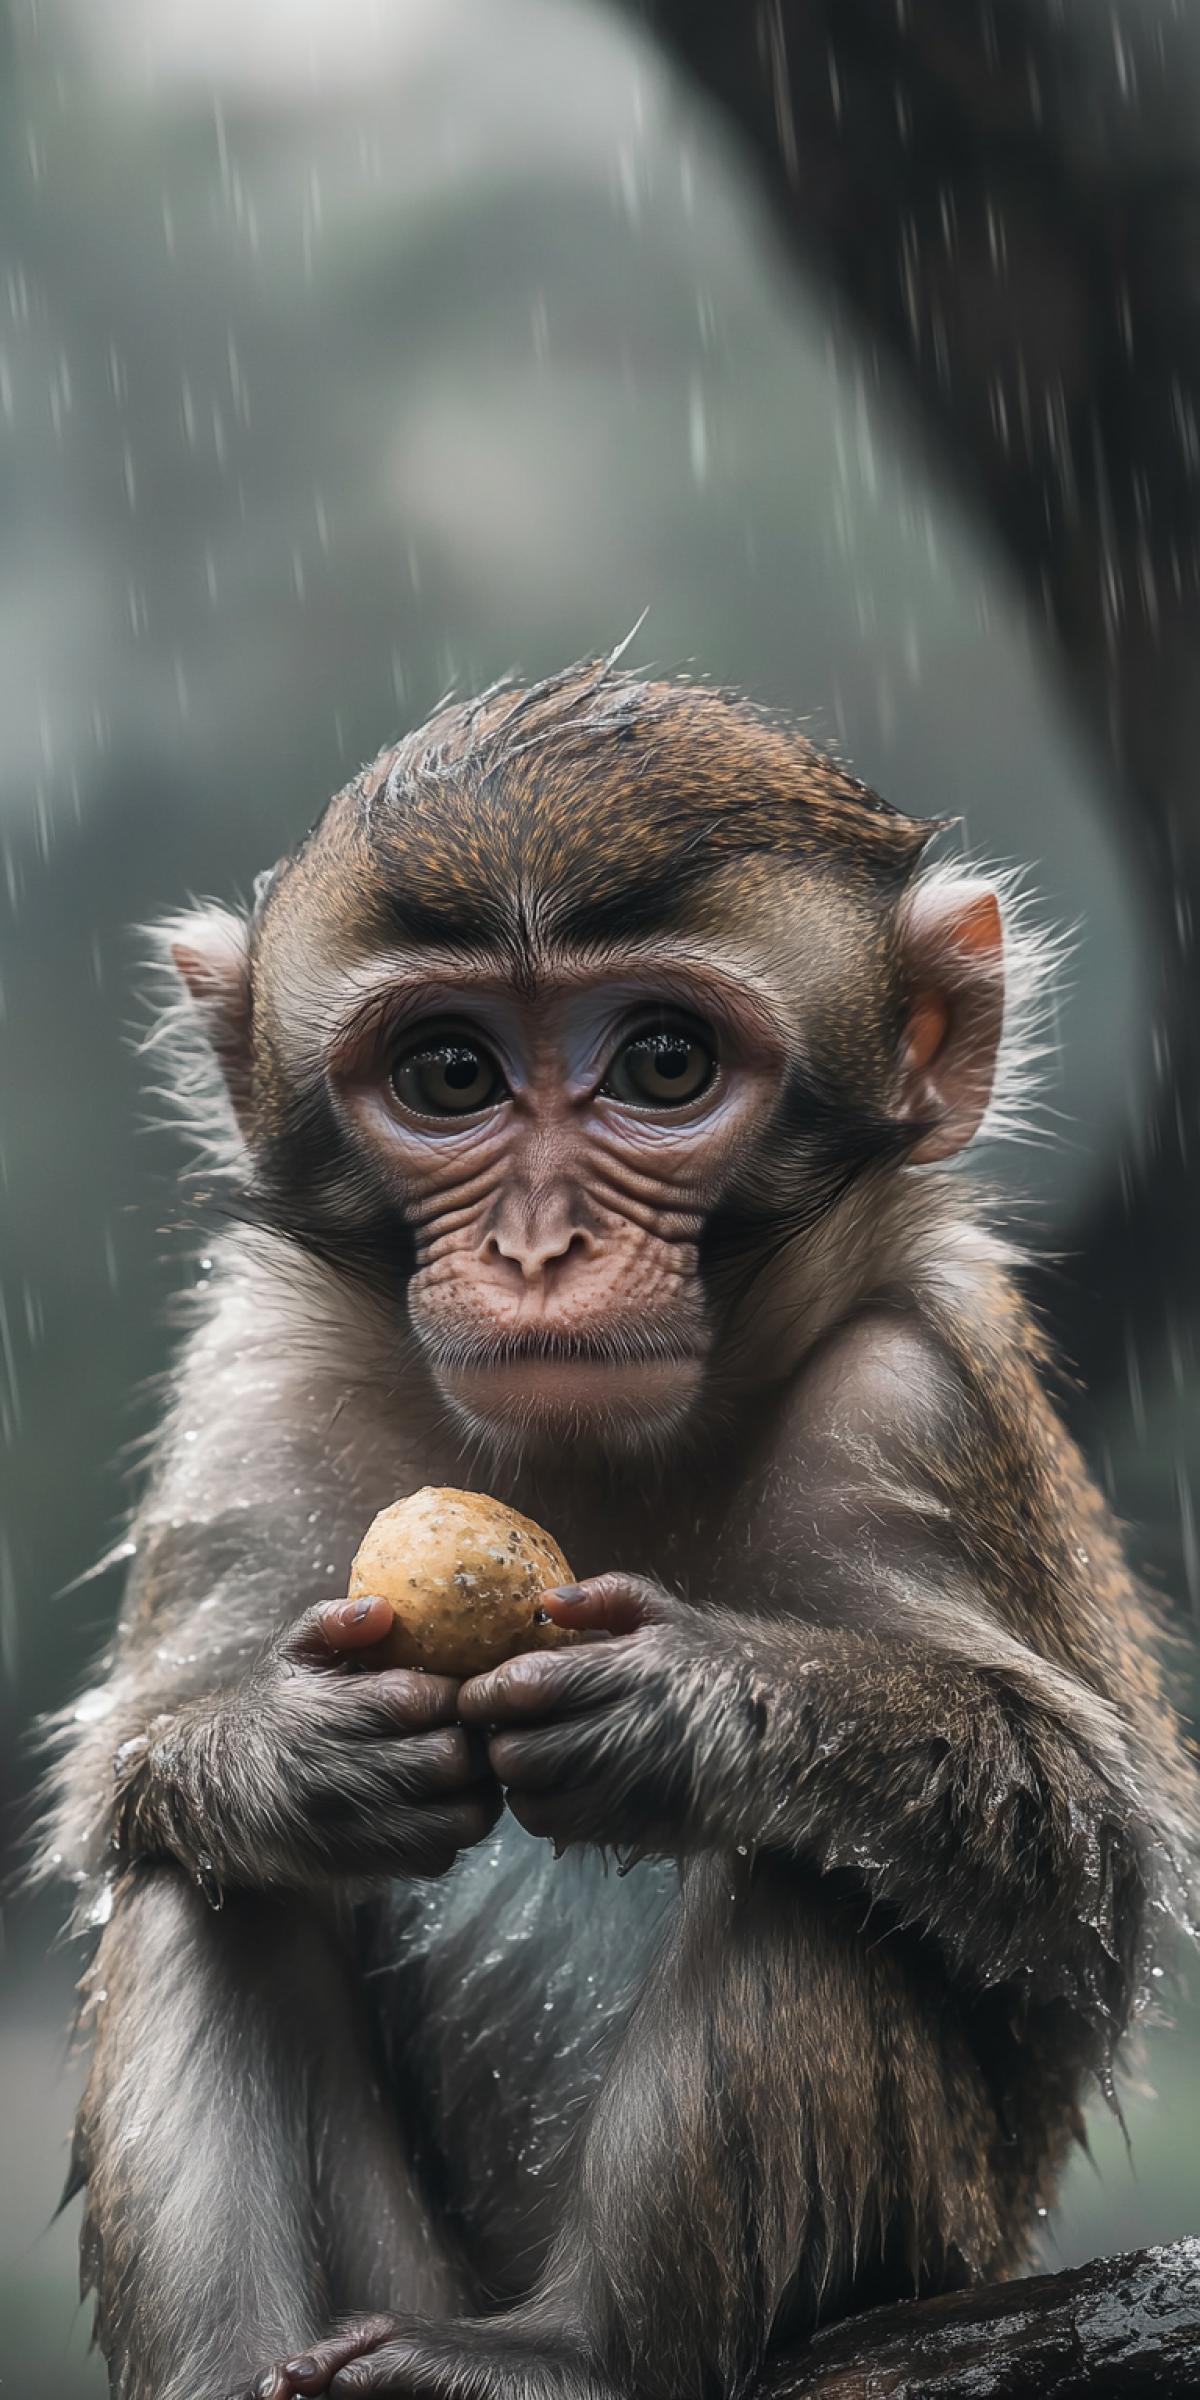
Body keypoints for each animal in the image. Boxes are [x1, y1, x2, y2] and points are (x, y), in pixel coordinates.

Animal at [41, 660, 1196, 2400]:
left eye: (662, 1065)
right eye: (451, 1076)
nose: (537, 1248)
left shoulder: (921, 1407)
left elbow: (1091, 1872)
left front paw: (683, 1707)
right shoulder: (249, 1392)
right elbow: (129, 1776)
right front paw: (285, 1749)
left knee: (812, 1865)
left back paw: (571, 2351)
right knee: (202, 1890)